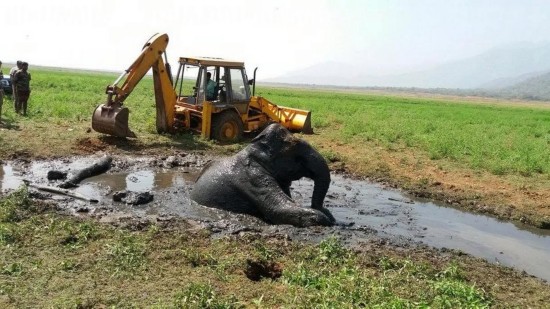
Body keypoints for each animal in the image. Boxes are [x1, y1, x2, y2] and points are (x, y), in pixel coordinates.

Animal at [190, 122, 336, 226]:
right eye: (296, 150)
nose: (329, 214)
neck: (255, 146)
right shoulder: (253, 177)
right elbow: (279, 209)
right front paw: (324, 219)